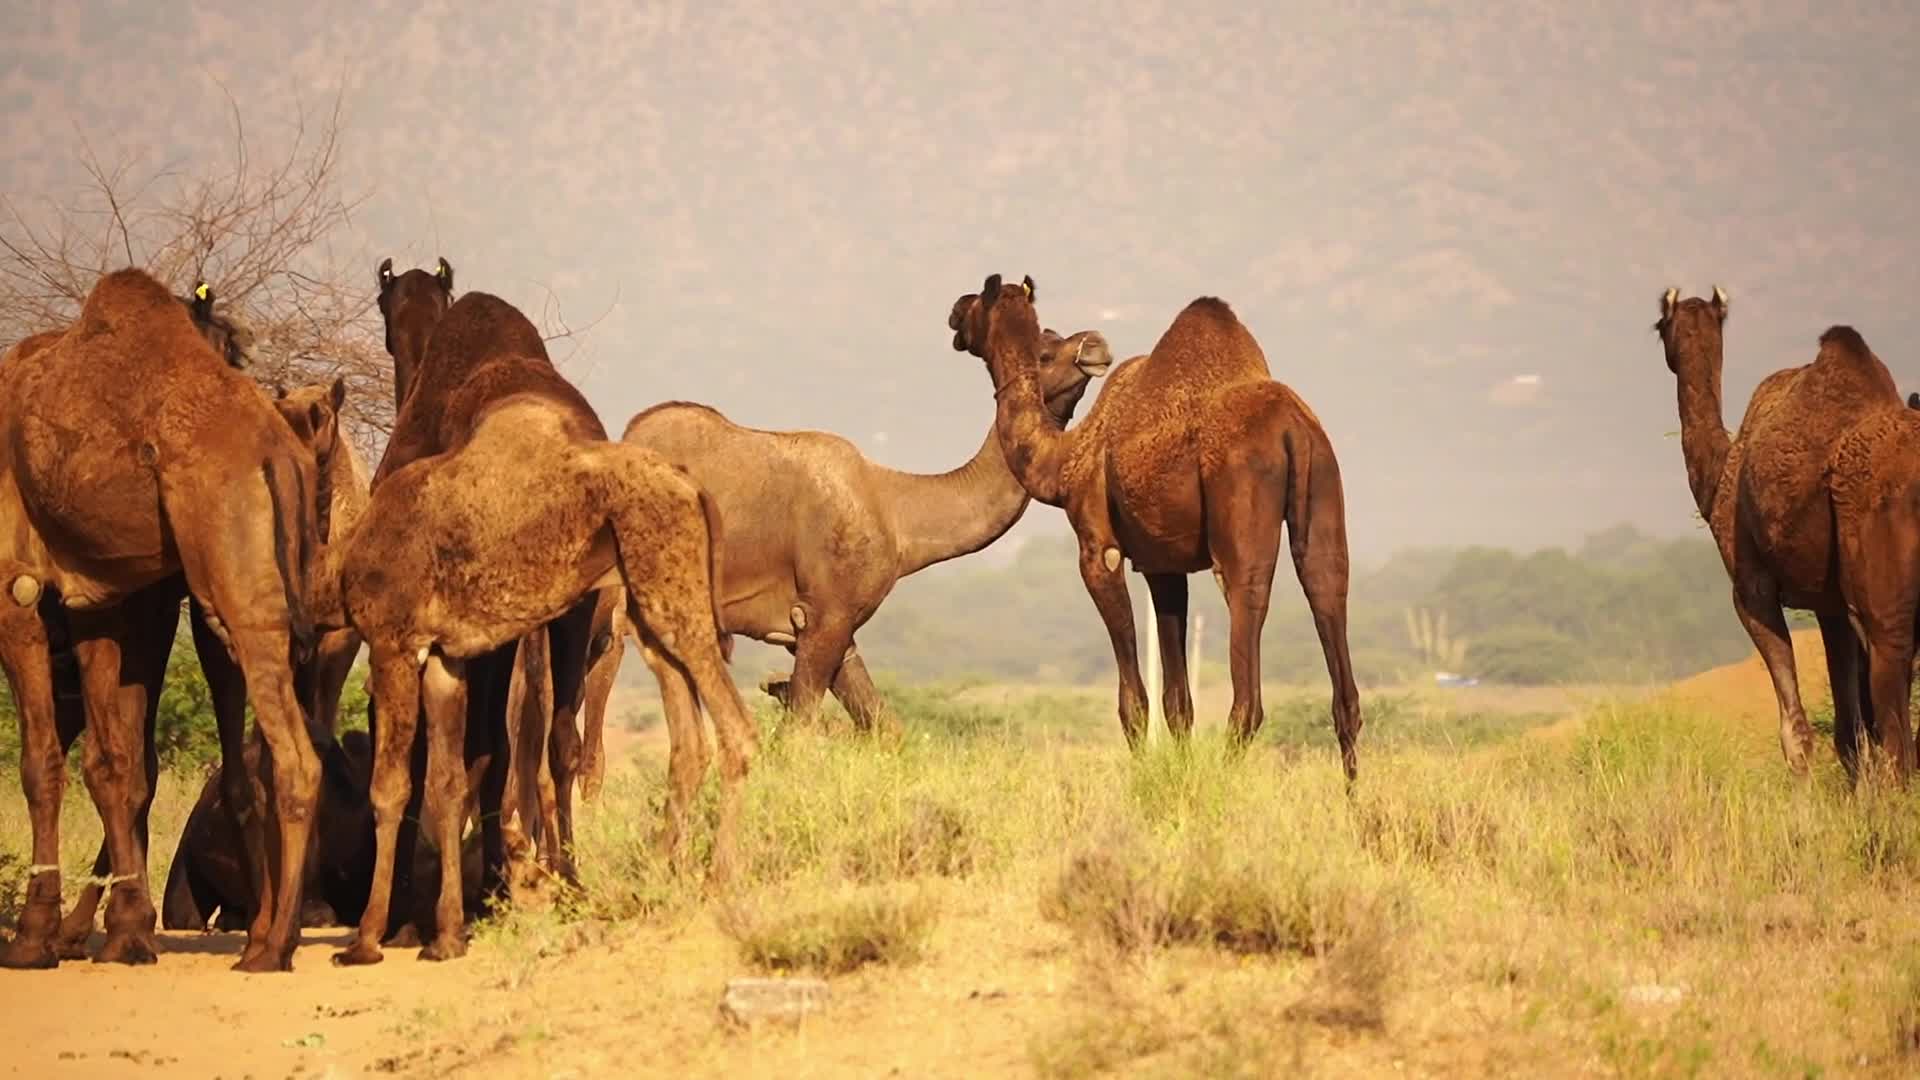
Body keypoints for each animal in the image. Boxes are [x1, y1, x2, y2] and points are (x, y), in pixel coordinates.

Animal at [0, 268, 322, 972]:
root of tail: (280, 453)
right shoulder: (100, 604)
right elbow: (115, 765)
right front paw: (125, 932)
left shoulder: (17, 593)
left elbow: (41, 764)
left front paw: (34, 937)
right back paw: (267, 936)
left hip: (233, 597)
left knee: (295, 760)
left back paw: (269, 948)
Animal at [622, 327, 1110, 732]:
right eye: (1044, 351)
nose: (1096, 344)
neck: (895, 510)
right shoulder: (825, 616)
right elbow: (801, 726)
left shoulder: (834, 629)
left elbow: (883, 724)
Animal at [945, 275, 1363, 777]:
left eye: (1044, 352)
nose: (955, 309)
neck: (1065, 460)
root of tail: (1293, 431)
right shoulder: (1163, 565)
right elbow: (1177, 702)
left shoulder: (1098, 550)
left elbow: (1135, 701)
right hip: (1325, 483)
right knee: (1330, 602)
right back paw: (1354, 793)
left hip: (1241, 512)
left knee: (1247, 675)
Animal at [1655, 288, 1917, 782]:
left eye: (1659, 324)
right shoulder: (1831, 603)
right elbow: (1851, 732)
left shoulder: (1751, 587)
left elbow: (1798, 731)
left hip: (1883, 599)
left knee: (1895, 722)